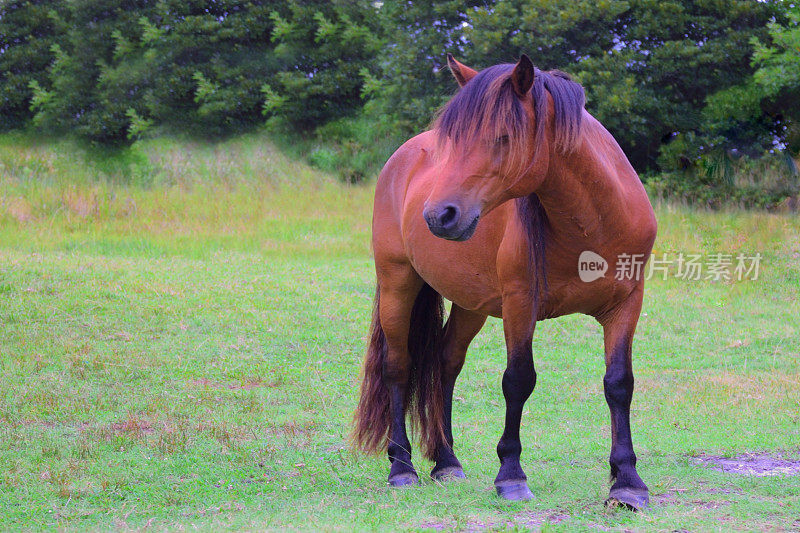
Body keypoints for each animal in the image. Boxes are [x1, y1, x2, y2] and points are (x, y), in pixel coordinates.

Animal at [354, 53, 656, 508]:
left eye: (503, 137)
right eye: (453, 141)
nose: (438, 216)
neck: (594, 225)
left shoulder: (626, 305)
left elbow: (619, 384)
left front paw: (627, 482)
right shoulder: (519, 305)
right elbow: (518, 381)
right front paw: (511, 475)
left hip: (470, 303)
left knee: (446, 361)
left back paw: (446, 461)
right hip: (397, 283)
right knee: (398, 367)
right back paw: (402, 467)